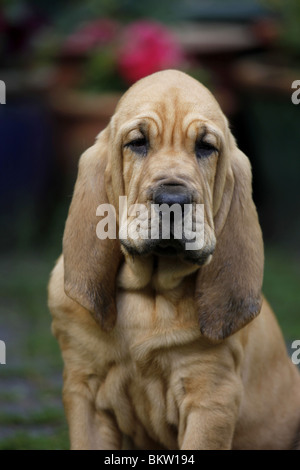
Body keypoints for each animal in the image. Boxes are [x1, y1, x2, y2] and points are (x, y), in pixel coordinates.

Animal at [48, 70, 298, 452]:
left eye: (206, 147)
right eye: (138, 143)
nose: (173, 200)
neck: (150, 290)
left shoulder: (211, 397)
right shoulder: (84, 390)